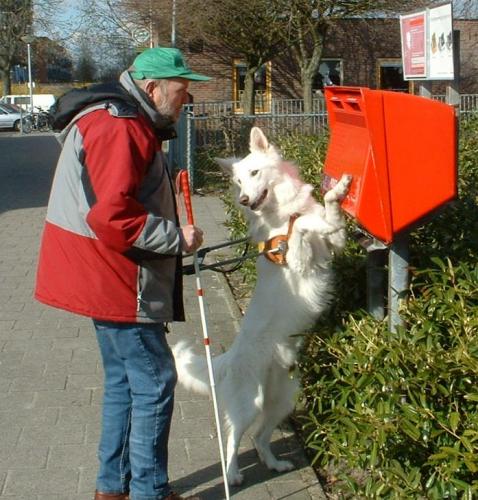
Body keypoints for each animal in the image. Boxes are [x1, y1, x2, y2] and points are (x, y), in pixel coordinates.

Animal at [173, 127, 352, 486]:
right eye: (238, 182)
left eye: (254, 174)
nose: (243, 200)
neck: (280, 212)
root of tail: (228, 359)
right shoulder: (298, 261)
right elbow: (303, 225)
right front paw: (316, 212)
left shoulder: (334, 245)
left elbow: (328, 219)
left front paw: (337, 193)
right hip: (249, 404)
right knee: (233, 437)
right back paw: (232, 474)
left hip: (283, 399)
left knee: (258, 437)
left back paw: (274, 464)